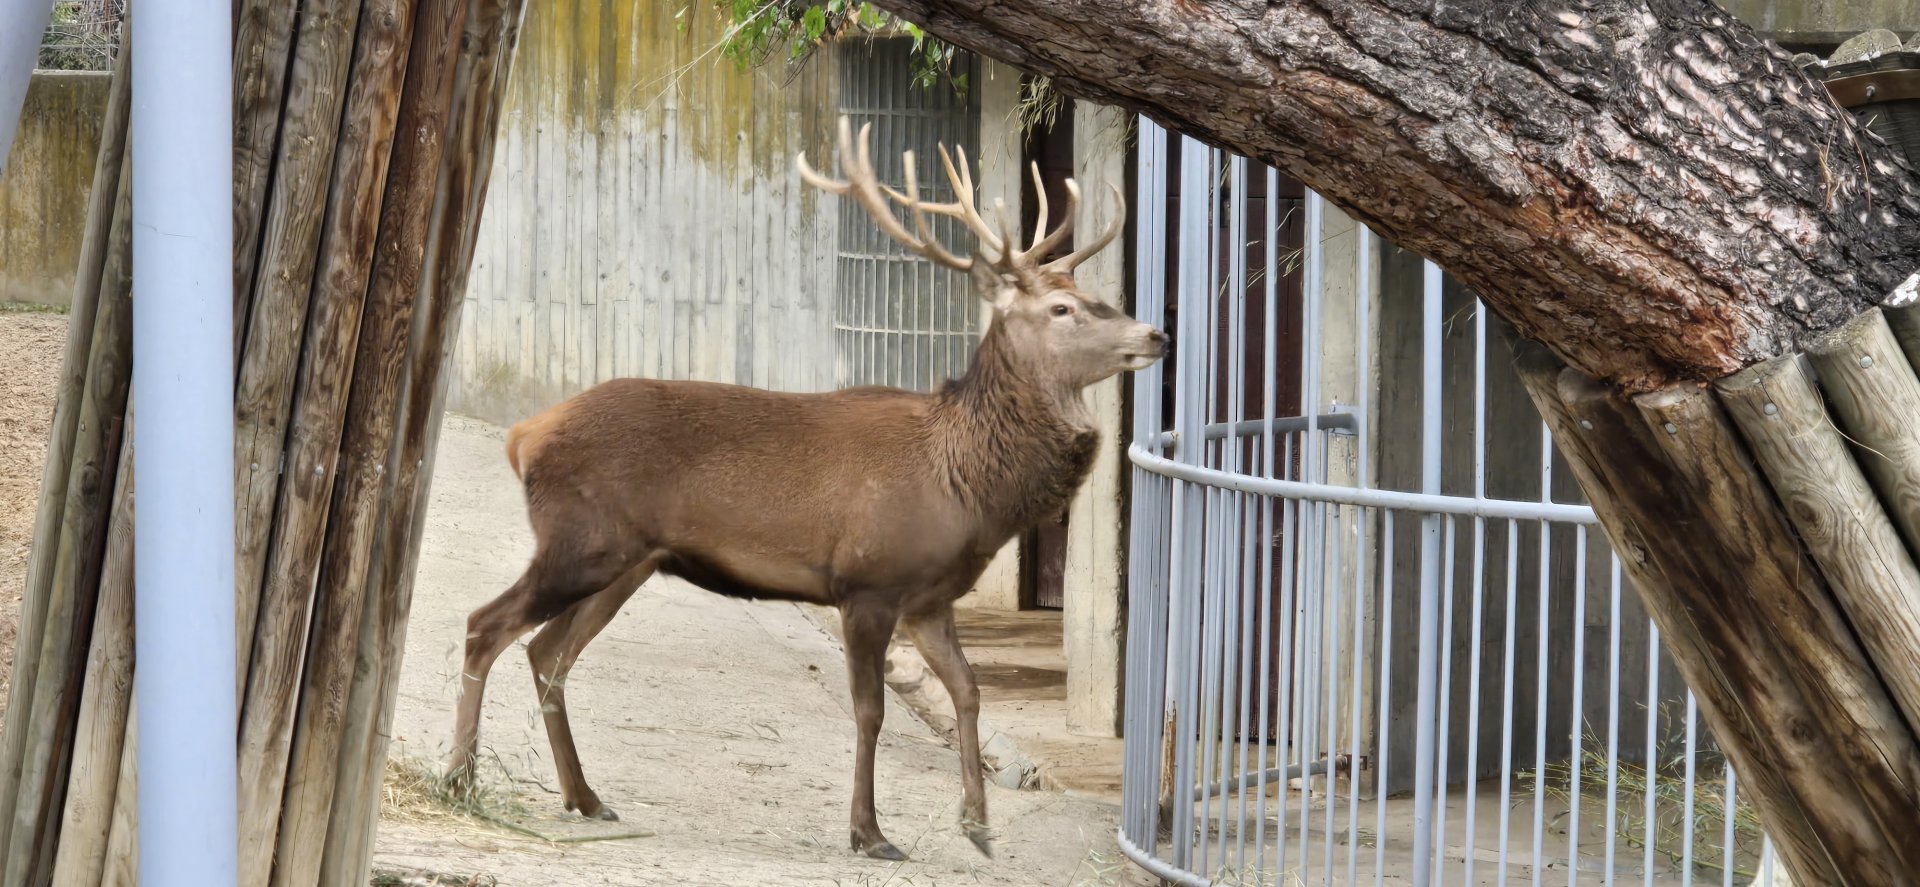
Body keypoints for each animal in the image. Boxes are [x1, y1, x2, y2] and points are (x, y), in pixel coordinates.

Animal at [446, 114, 1166, 862]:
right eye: (1062, 307)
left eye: (1098, 298)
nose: (1157, 333)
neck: (965, 487)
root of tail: (522, 435)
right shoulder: (866, 582)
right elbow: (870, 711)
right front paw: (870, 831)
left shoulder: (929, 596)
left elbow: (969, 691)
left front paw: (978, 825)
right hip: (578, 541)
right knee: (485, 624)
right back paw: (461, 779)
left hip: (627, 561)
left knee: (546, 650)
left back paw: (585, 796)